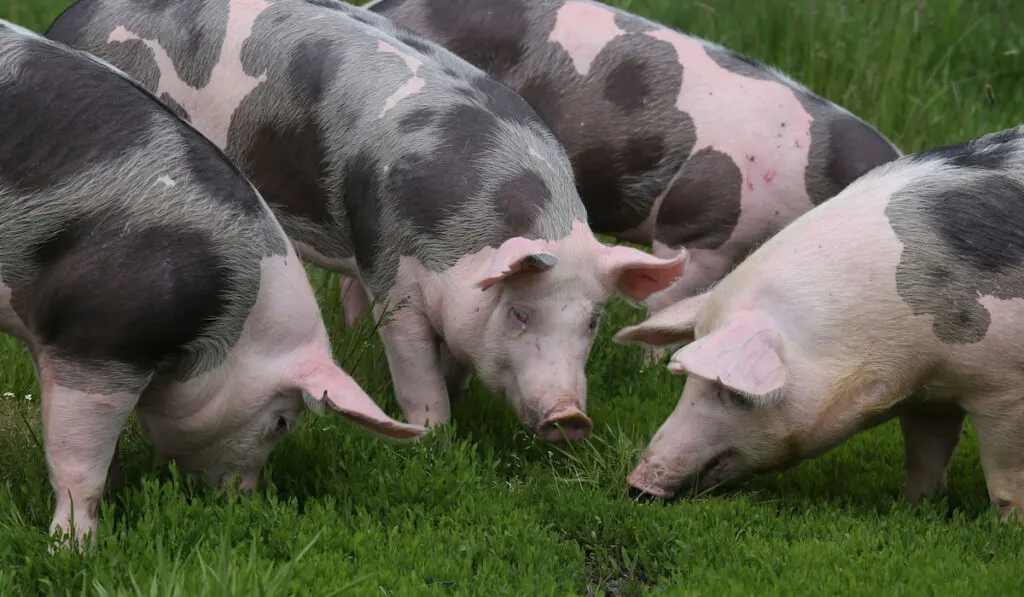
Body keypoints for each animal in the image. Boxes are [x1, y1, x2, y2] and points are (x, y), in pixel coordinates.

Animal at [0, 19, 423, 552]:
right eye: (281, 422)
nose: (242, 498)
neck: (235, 321)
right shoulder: (100, 335)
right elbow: (78, 462)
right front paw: (76, 550)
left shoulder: (53, 333)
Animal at [48, 0, 688, 444]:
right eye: (521, 313)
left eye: (592, 321)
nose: (570, 417)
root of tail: (71, 19)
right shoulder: (390, 269)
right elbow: (415, 367)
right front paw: (435, 438)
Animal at [610, 123, 1024, 520]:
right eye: (688, 384)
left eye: (735, 393)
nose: (637, 484)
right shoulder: (929, 393)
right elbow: (926, 456)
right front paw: (916, 509)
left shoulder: (1003, 388)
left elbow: (1005, 477)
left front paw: (1006, 528)